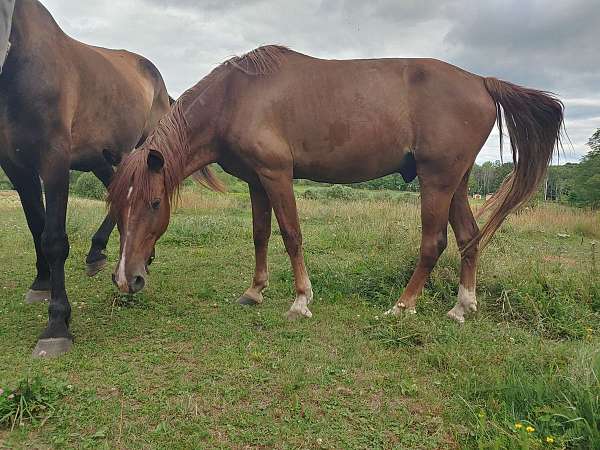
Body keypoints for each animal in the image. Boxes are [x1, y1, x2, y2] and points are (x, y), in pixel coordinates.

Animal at [1, 0, 172, 358]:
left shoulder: (54, 159)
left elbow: (53, 238)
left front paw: (56, 324)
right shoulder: (15, 166)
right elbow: (35, 227)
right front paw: (41, 282)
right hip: (101, 158)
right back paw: (103, 253)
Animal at [108, 45, 564, 326]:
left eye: (154, 203)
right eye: (117, 207)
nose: (127, 279)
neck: (237, 96)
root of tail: (481, 81)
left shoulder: (277, 175)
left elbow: (291, 234)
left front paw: (300, 301)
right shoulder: (256, 181)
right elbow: (260, 233)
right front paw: (254, 291)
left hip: (437, 181)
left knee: (434, 243)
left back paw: (403, 306)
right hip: (457, 181)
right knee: (470, 237)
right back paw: (460, 308)